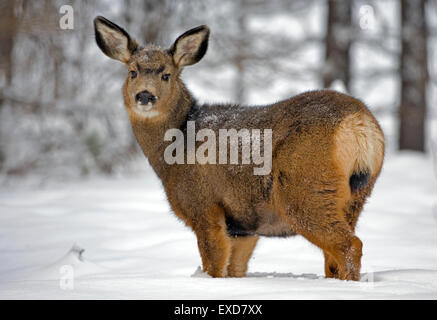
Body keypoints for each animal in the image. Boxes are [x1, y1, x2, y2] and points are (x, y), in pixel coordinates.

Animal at [93, 16, 384, 280]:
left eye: (166, 75)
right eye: (132, 72)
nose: (144, 95)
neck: (173, 149)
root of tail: (359, 124)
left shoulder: (204, 206)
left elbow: (214, 266)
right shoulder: (243, 225)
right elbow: (235, 270)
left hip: (305, 188)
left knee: (350, 245)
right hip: (356, 197)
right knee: (335, 256)